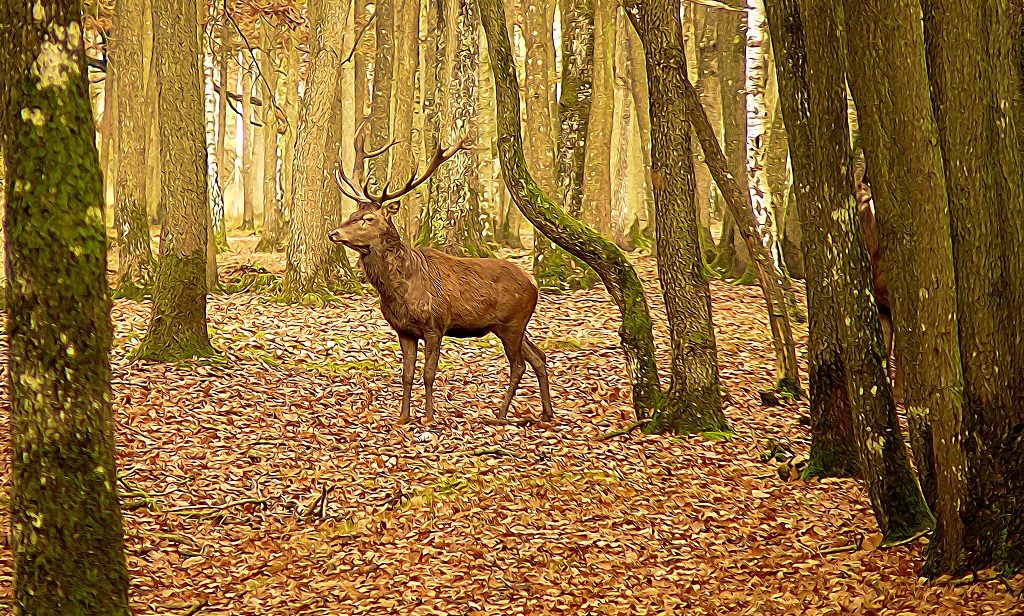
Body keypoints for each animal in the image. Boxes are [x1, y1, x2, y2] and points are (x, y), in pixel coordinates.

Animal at [327, 123, 552, 421]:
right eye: (352, 215)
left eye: (368, 219)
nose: (334, 233)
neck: (398, 292)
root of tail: (533, 284)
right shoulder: (403, 330)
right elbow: (407, 375)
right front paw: (403, 417)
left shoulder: (435, 324)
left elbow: (428, 373)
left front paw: (429, 416)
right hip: (513, 324)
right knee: (538, 356)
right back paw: (547, 413)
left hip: (512, 323)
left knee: (518, 364)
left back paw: (501, 414)